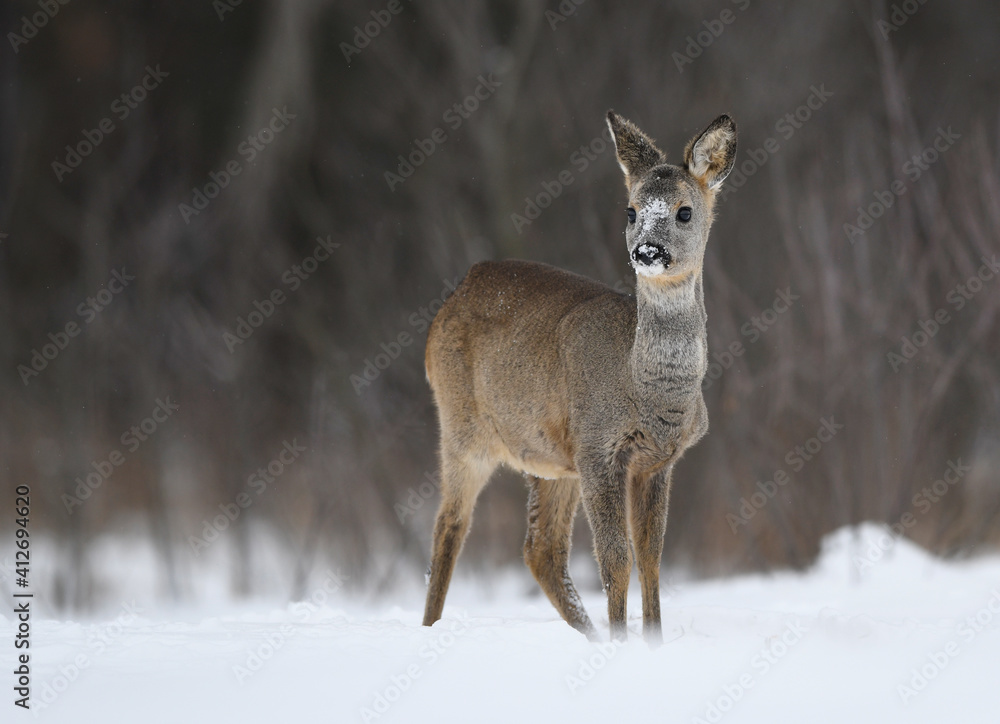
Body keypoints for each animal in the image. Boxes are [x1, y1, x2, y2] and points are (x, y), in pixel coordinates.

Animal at [420, 111, 737, 644]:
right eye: (630, 211)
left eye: (684, 212)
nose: (647, 251)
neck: (650, 394)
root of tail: (455, 295)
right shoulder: (599, 446)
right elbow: (616, 561)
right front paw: (624, 644)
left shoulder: (657, 461)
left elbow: (651, 558)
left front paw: (651, 643)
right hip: (463, 427)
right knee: (449, 526)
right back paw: (430, 626)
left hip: (551, 460)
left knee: (540, 548)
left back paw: (586, 634)